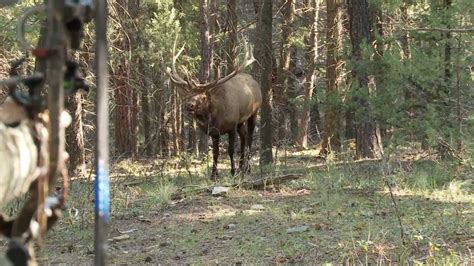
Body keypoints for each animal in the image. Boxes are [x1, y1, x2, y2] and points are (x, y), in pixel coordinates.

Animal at [167, 40, 262, 180]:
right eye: (188, 95)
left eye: (203, 96)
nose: (189, 105)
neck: (215, 118)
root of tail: (255, 82)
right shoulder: (214, 132)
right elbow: (215, 153)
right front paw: (213, 175)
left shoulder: (231, 125)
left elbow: (230, 150)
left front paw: (232, 172)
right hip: (240, 120)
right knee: (244, 135)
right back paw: (241, 167)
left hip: (254, 112)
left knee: (249, 137)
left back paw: (247, 168)